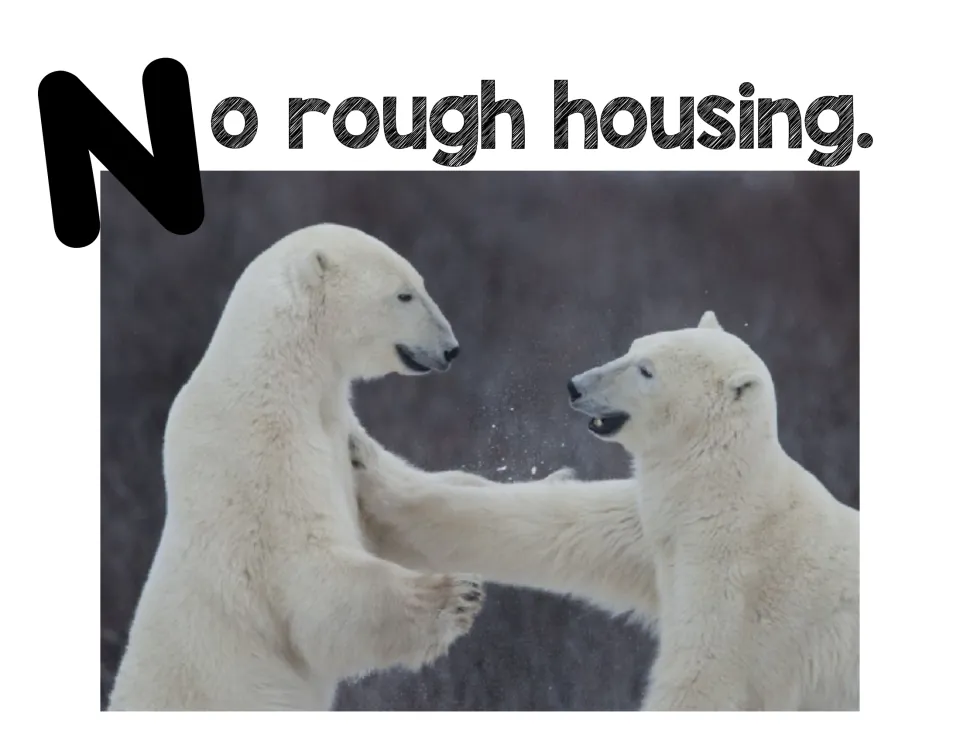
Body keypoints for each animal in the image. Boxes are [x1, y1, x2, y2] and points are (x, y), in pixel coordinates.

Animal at [108, 224, 487, 711]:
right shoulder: (264, 453)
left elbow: (393, 500)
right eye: (404, 294)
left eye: (420, 284)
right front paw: (456, 593)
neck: (280, 373)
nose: (451, 349)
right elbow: (309, 580)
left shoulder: (336, 427)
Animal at [351, 310, 860, 711]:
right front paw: (365, 460)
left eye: (647, 371)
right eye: (634, 347)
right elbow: (558, 523)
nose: (575, 385)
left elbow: (704, 678)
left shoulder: (738, 583)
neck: (723, 495)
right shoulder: (653, 529)